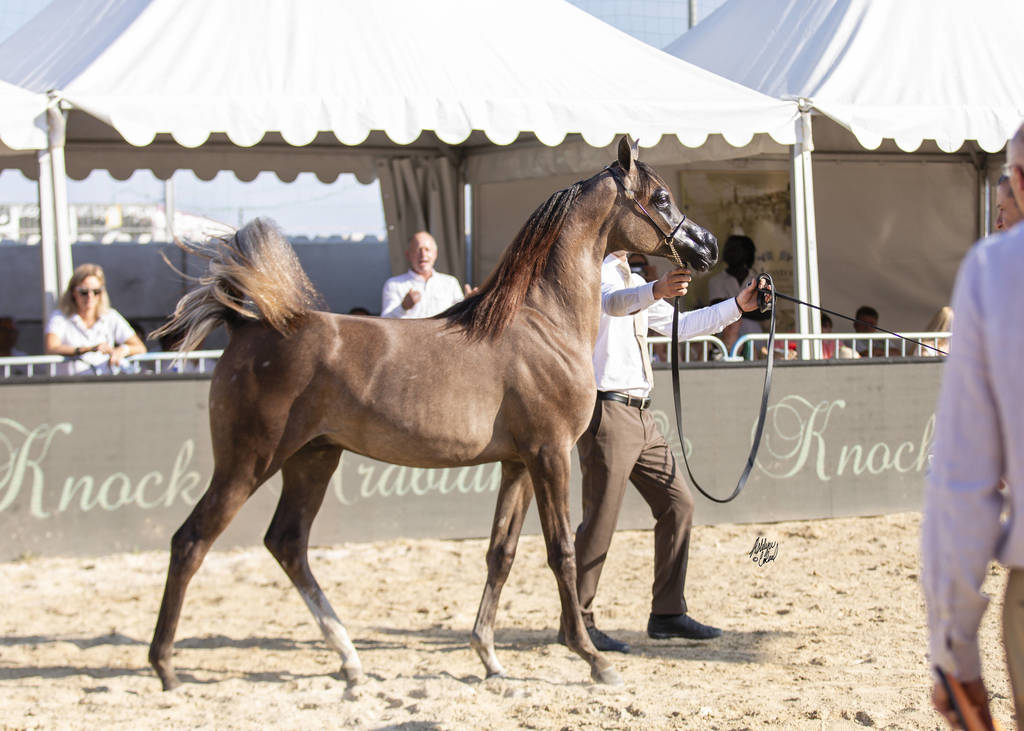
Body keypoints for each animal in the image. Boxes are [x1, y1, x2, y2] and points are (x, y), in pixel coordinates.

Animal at [147, 137, 719, 691]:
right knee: (191, 541)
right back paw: (166, 668)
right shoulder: (550, 454)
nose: (708, 246)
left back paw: (350, 663)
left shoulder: (518, 463)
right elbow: (563, 552)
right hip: (248, 463)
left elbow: (501, 553)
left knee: (287, 543)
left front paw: (489, 659)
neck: (543, 321)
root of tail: (247, 325)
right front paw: (593, 659)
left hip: (313, 459)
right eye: (660, 197)